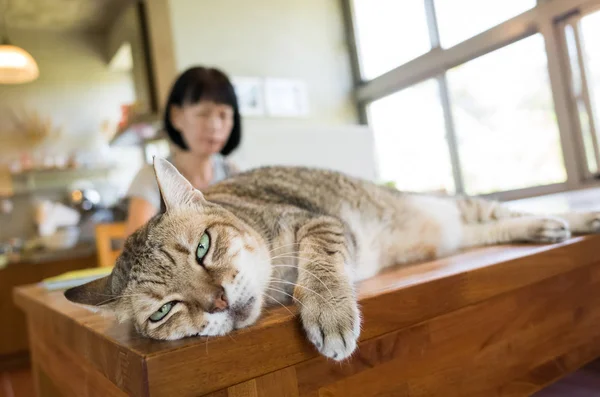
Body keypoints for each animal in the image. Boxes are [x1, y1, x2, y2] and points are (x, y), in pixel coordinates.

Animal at [65, 157, 600, 358]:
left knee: (500, 211)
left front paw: (330, 311)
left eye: (203, 247)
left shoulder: (317, 225)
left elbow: (321, 267)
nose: (217, 301)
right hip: (455, 232)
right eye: (162, 311)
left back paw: (572, 218)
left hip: (460, 206)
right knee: (487, 228)